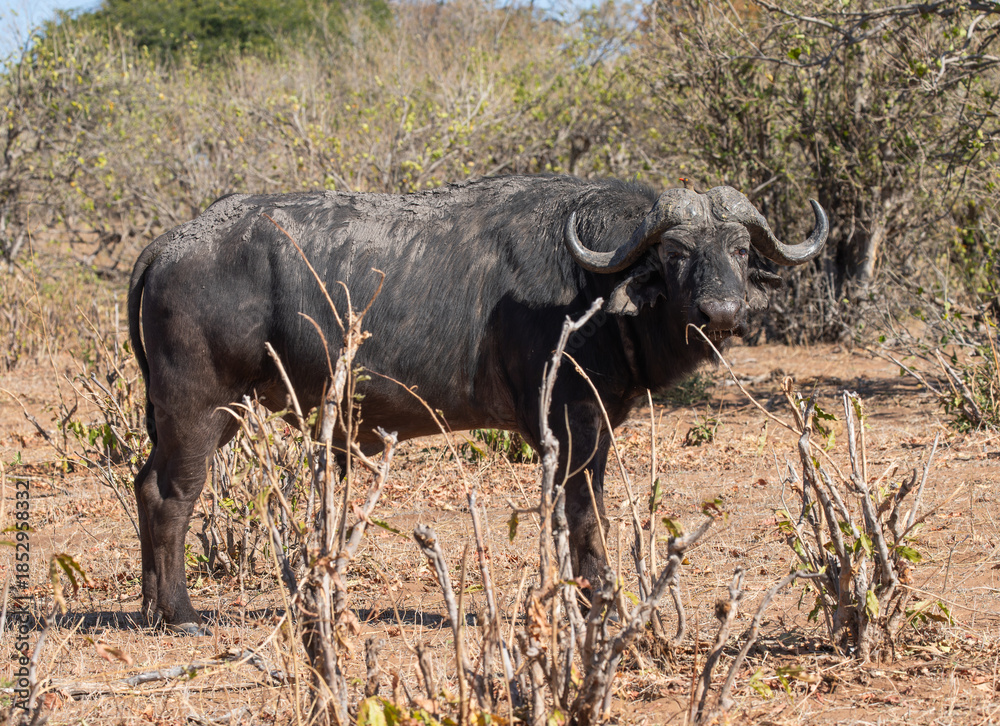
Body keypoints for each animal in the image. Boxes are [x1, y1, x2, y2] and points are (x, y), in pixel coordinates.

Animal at [128, 174, 828, 634]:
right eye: (678, 252)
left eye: (739, 249)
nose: (724, 311)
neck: (593, 289)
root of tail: (170, 243)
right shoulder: (572, 425)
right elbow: (584, 516)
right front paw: (598, 602)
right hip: (202, 410)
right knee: (172, 496)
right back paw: (182, 614)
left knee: (144, 485)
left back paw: (150, 608)